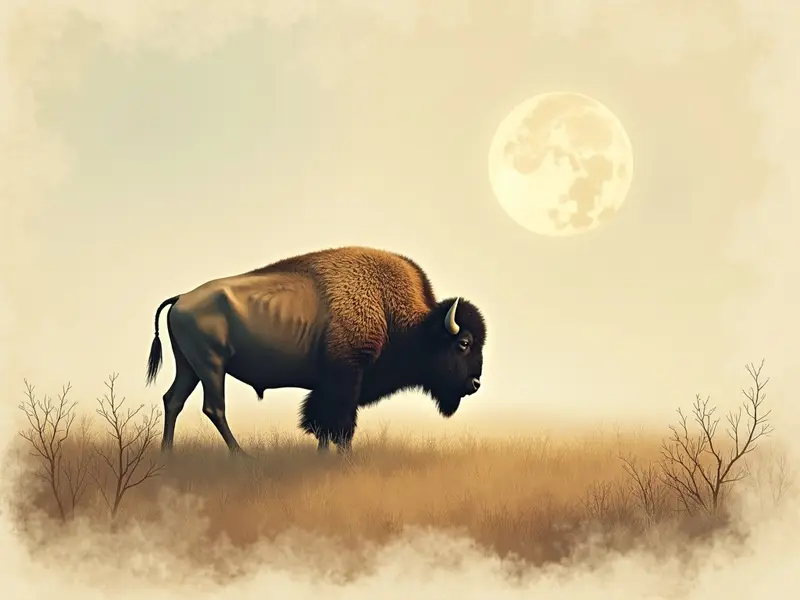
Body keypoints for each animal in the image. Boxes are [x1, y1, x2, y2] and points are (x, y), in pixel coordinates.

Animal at [145, 246, 487, 455]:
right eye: (464, 343)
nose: (475, 384)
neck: (389, 311)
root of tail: (182, 298)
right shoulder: (347, 379)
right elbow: (341, 424)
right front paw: (345, 460)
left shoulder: (328, 386)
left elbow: (323, 424)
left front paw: (323, 456)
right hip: (211, 366)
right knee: (214, 407)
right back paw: (241, 455)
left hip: (189, 367)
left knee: (173, 400)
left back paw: (168, 453)